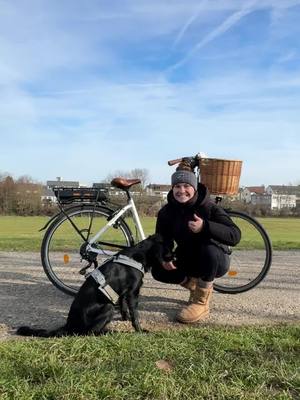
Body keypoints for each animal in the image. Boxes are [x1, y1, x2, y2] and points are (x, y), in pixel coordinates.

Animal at [16, 234, 163, 338]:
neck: (138, 254)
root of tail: (69, 325)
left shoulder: (122, 293)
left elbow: (123, 307)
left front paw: (125, 319)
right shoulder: (133, 293)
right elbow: (135, 315)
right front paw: (140, 330)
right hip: (108, 307)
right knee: (91, 332)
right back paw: (109, 332)